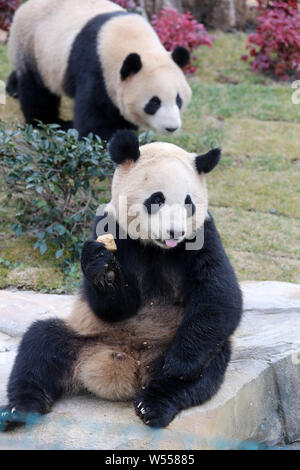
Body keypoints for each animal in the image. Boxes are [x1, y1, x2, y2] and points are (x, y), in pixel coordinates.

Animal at [0, 131, 243, 430]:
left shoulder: (203, 236)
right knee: (40, 346)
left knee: (204, 369)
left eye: (189, 203)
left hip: (175, 342)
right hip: (87, 337)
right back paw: (19, 410)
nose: (175, 231)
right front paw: (104, 270)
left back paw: (153, 404)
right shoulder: (110, 226)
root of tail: (125, 366)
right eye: (157, 199)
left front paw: (178, 364)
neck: (157, 247)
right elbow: (114, 307)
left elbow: (218, 294)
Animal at [7, 0, 192, 140]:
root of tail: (25, 6)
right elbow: (96, 115)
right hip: (31, 44)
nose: (171, 127)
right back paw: (50, 122)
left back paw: (12, 88)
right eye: (154, 102)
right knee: (37, 91)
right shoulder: (96, 67)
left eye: (178, 100)